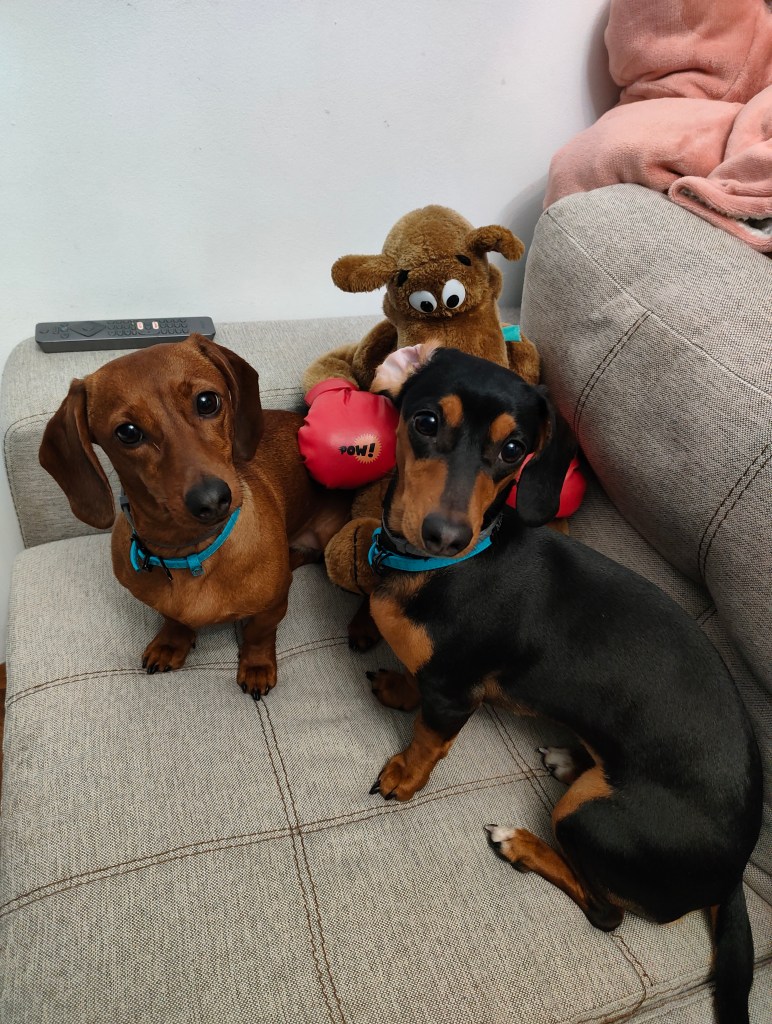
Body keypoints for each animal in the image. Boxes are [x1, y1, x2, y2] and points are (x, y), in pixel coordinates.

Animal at [39, 334, 350, 697]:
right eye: (127, 432)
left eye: (207, 401)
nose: (212, 500)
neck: (190, 552)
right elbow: (173, 618)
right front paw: (172, 643)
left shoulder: (273, 607)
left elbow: (259, 633)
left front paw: (257, 666)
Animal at [363, 343, 762, 1024]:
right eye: (425, 422)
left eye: (514, 449)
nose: (447, 534)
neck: (446, 566)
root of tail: (735, 871)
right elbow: (417, 690)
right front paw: (398, 687)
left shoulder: (453, 695)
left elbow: (426, 741)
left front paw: (403, 778)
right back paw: (568, 757)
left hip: (589, 819)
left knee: (606, 914)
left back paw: (521, 844)